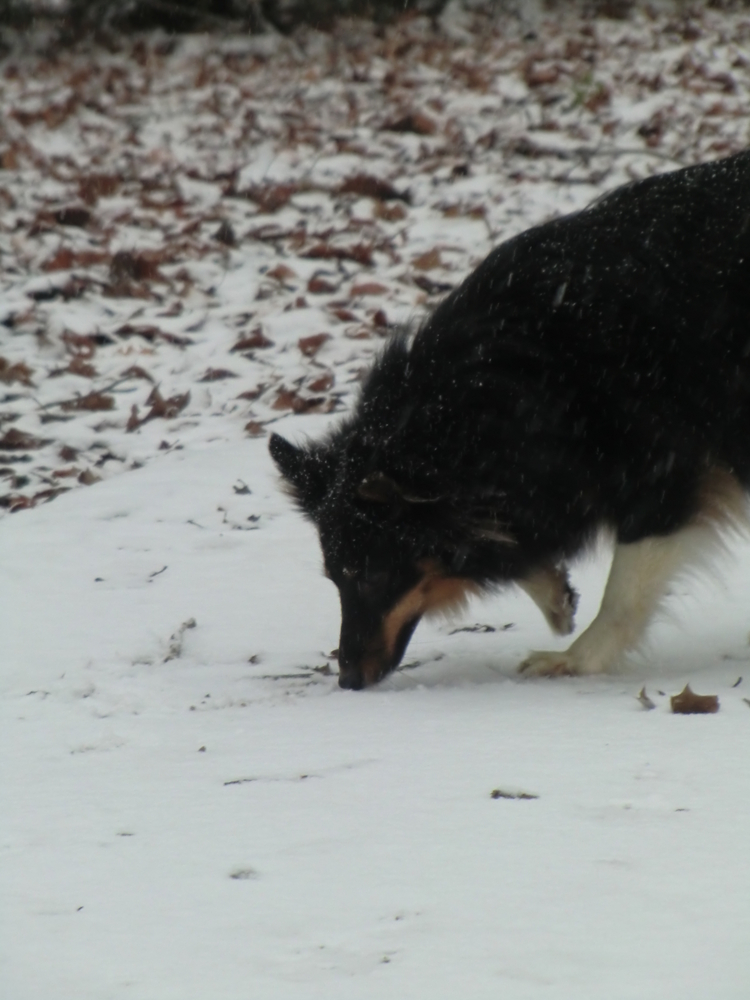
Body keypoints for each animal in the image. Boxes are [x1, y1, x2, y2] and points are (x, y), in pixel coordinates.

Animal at [270, 152, 750, 692]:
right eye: (335, 577)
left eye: (371, 576)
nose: (349, 678)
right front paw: (556, 595)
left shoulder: (662, 464)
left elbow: (623, 589)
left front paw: (572, 659)